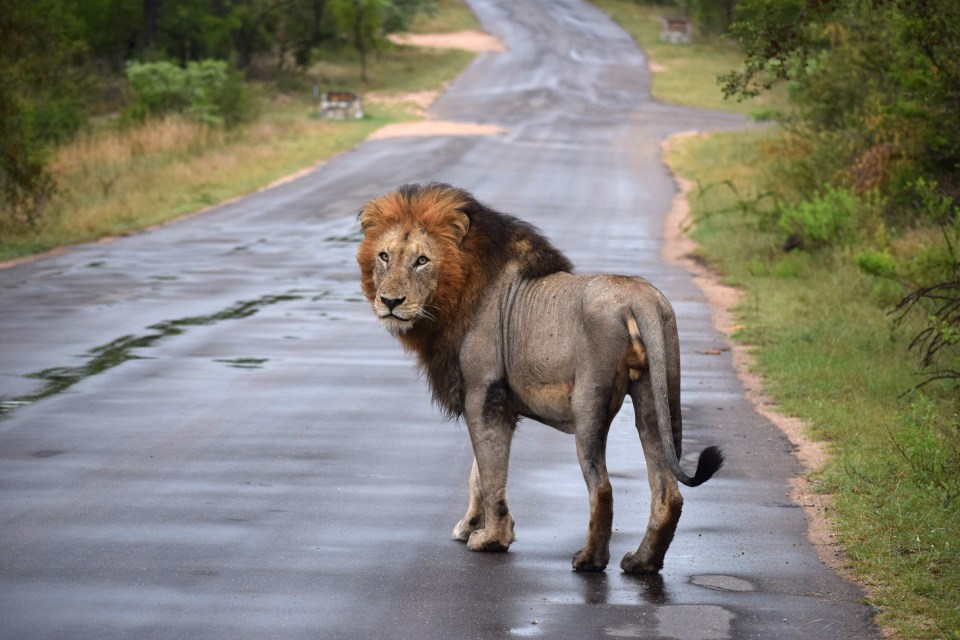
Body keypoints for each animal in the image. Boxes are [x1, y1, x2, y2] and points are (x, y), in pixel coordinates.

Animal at [356, 182, 724, 572]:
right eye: (384, 256)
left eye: (422, 260)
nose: (390, 301)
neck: (457, 291)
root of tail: (639, 300)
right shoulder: (495, 402)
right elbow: (478, 473)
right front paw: (473, 526)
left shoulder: (484, 394)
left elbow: (490, 473)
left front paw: (491, 539)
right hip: (656, 396)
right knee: (668, 491)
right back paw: (642, 563)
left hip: (589, 404)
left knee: (602, 487)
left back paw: (590, 560)